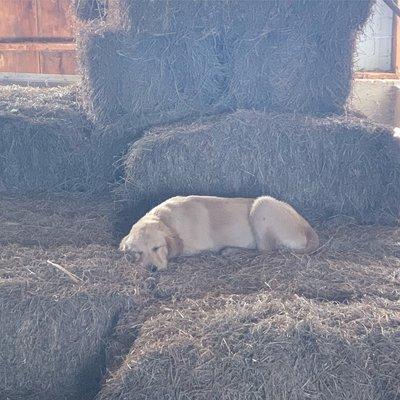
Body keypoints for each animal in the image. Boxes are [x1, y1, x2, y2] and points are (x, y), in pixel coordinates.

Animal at [119, 195, 318, 268]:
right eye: (138, 252)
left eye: (156, 248)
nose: (151, 269)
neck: (166, 219)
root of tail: (308, 228)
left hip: (262, 205)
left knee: (264, 251)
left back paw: (232, 251)